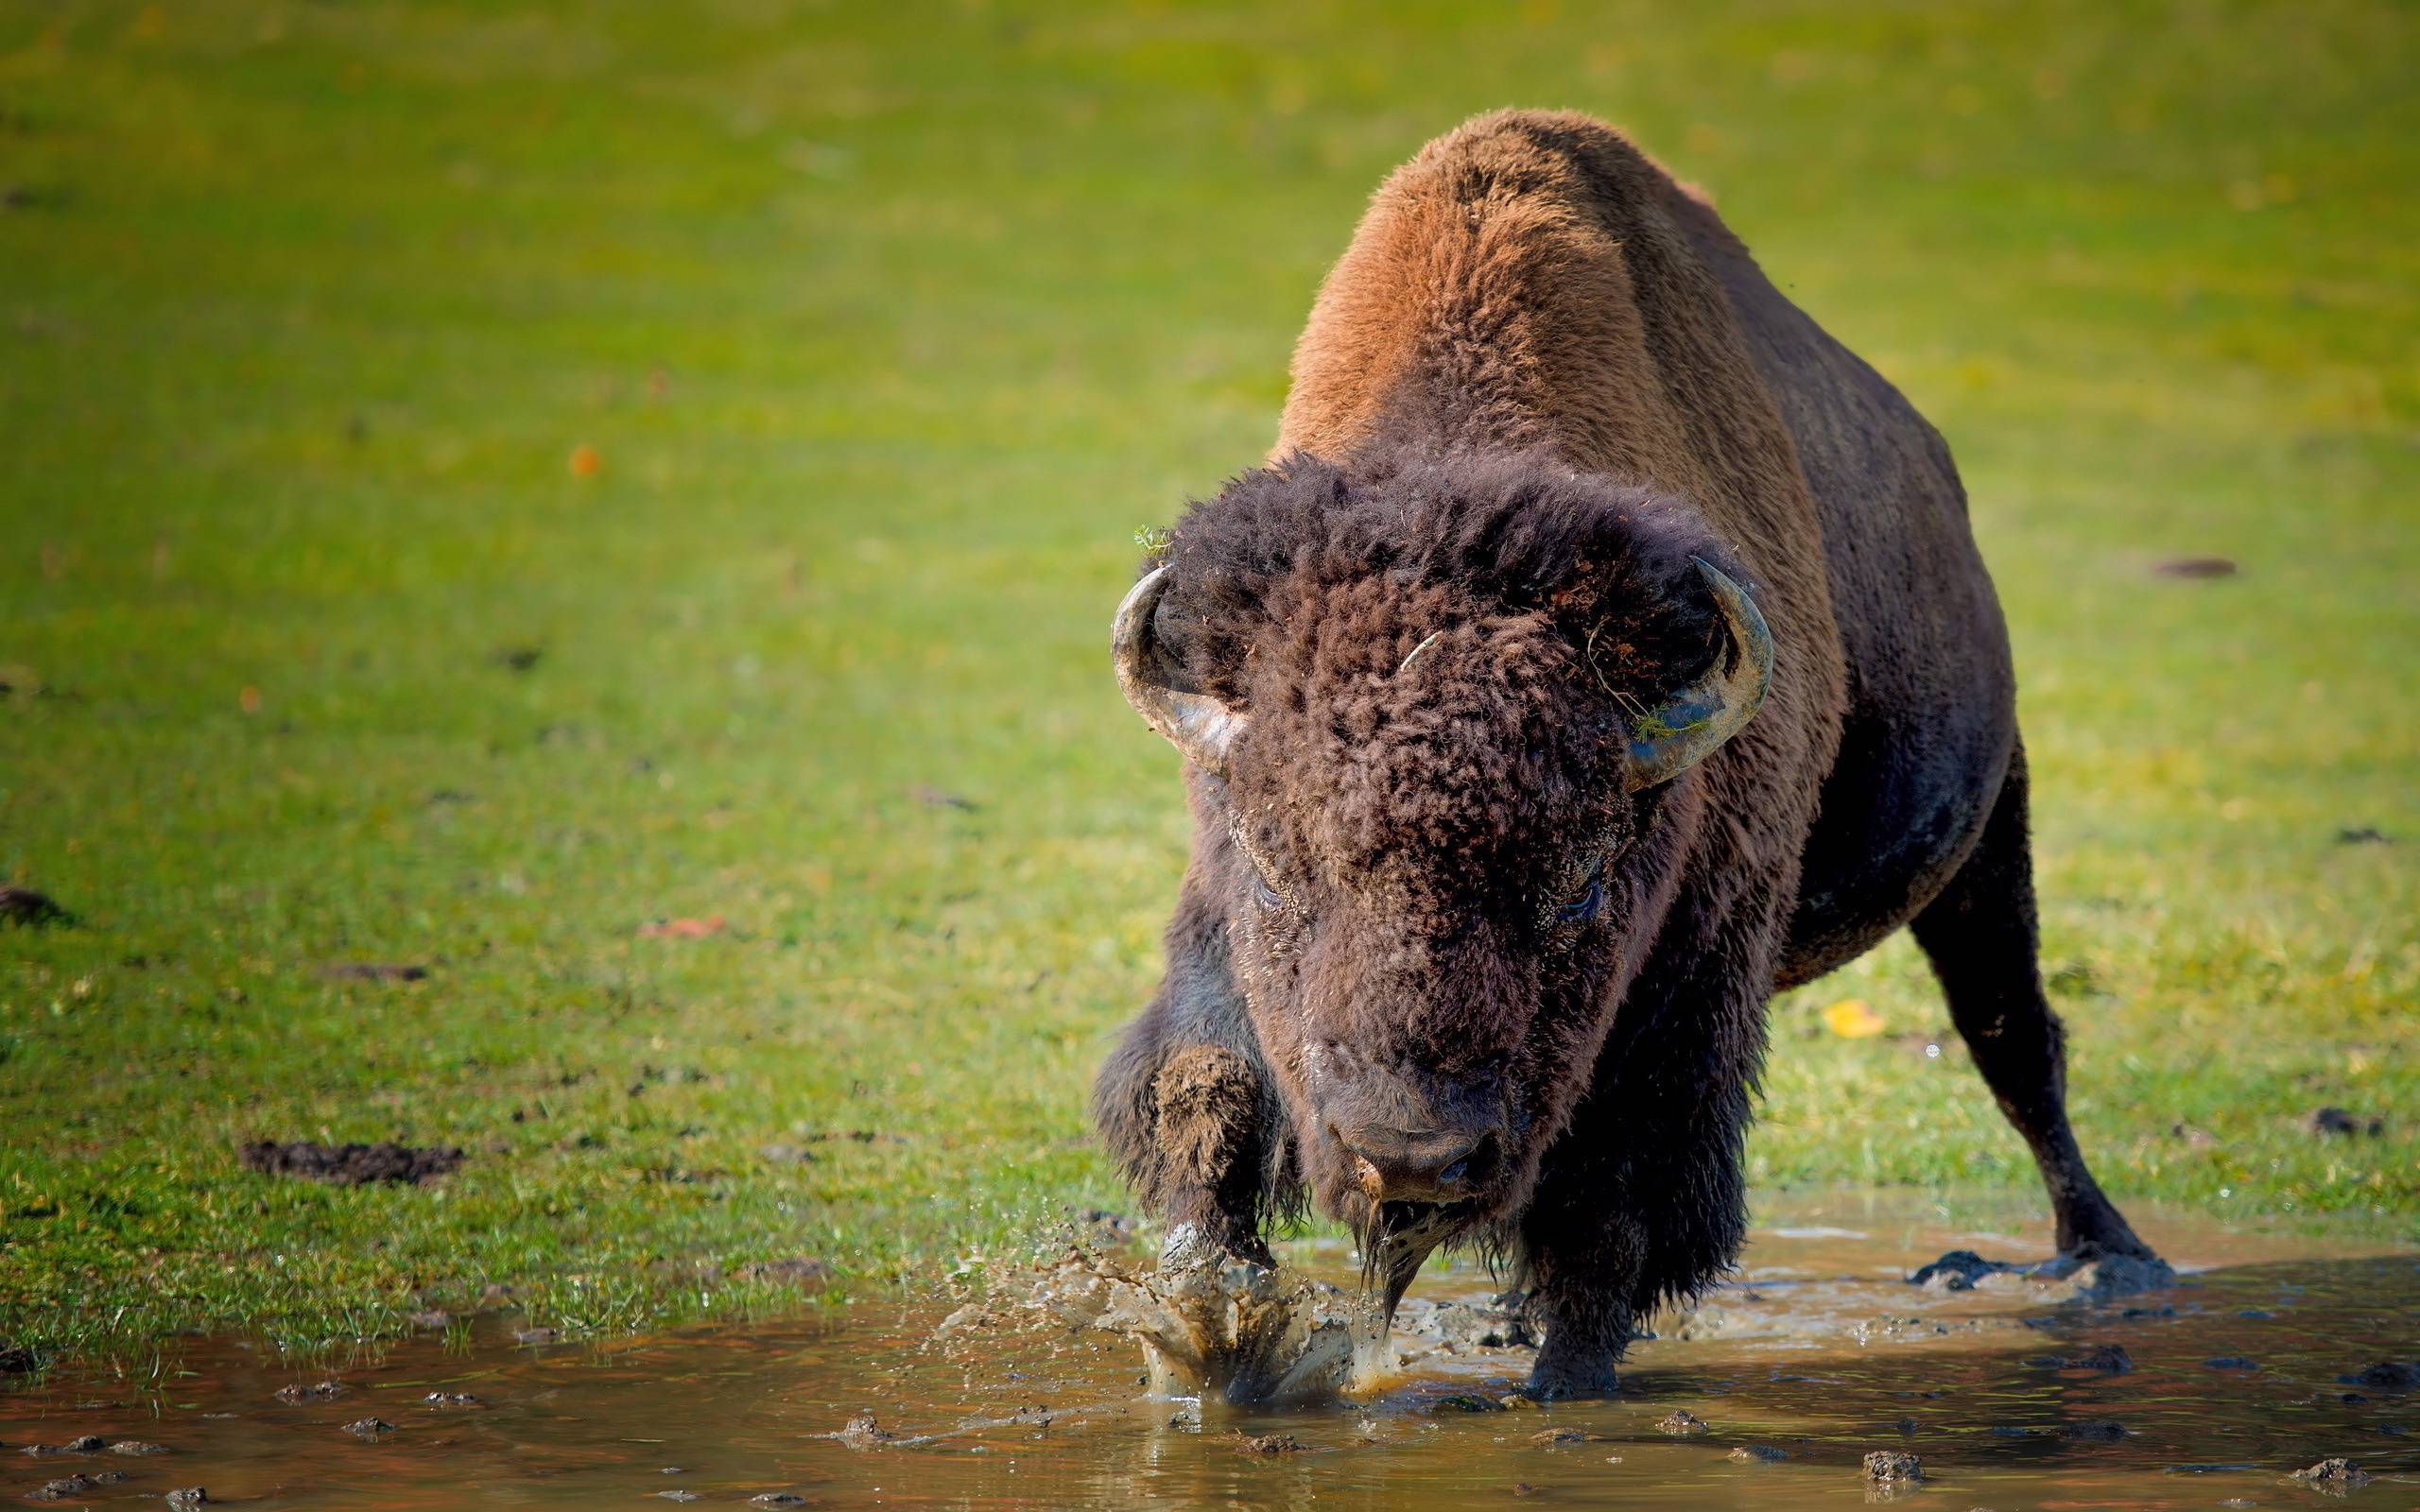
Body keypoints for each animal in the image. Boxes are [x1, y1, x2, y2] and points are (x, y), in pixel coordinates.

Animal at [1098, 112, 2158, 1393]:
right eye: (1270, 864)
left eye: (1583, 883)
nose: (1410, 1157)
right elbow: (1201, 1094)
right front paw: (1208, 1342)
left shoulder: (1693, 982)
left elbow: (1613, 1213)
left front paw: (1563, 1386)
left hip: (1989, 835)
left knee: (2015, 1041)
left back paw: (2111, 1257)